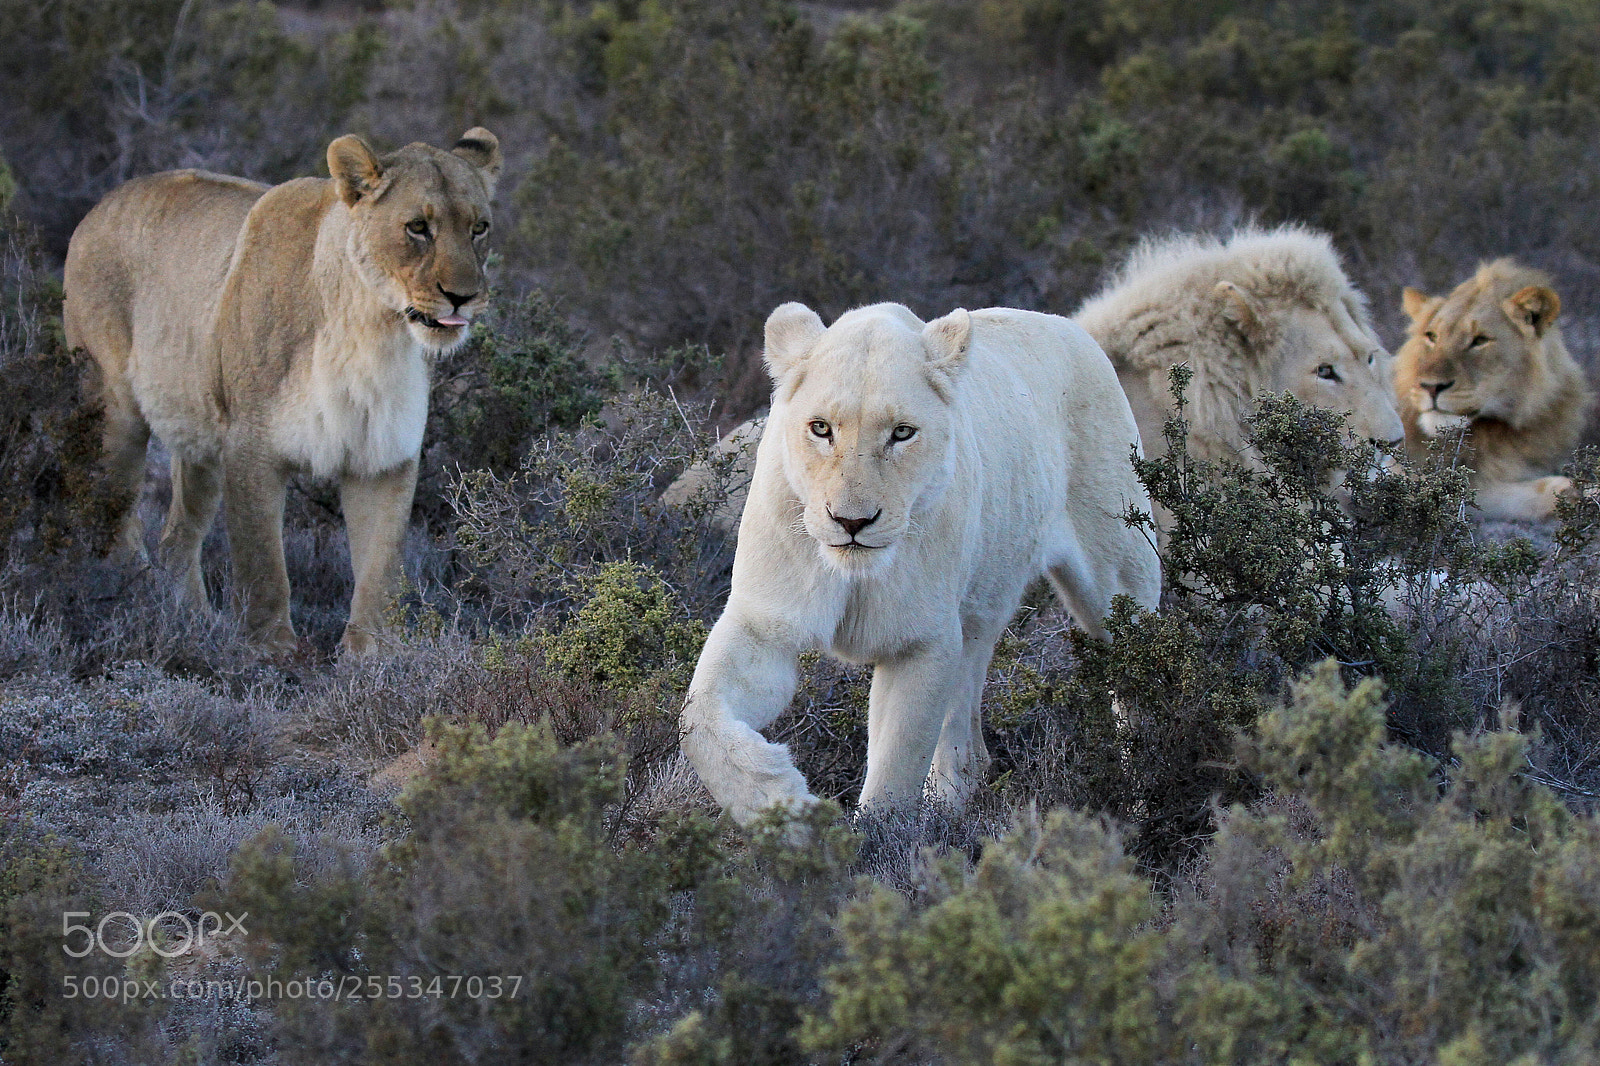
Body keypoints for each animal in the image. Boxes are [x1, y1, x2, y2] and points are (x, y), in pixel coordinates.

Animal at [63, 128, 502, 656]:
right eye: (418, 227)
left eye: (479, 228)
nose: (464, 296)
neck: (374, 329)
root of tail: (99, 205)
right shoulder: (252, 448)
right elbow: (264, 565)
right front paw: (271, 650)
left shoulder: (383, 457)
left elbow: (380, 569)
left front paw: (370, 655)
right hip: (115, 411)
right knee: (115, 521)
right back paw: (129, 601)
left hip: (198, 440)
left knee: (176, 538)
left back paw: (191, 622)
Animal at [680, 302, 1161, 824]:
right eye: (821, 427)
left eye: (902, 433)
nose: (852, 521)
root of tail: (1073, 327)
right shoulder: (765, 623)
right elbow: (698, 720)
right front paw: (784, 807)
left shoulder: (921, 640)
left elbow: (896, 767)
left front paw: (872, 838)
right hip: (980, 610)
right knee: (964, 723)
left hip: (1118, 574)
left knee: (1139, 676)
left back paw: (1149, 785)